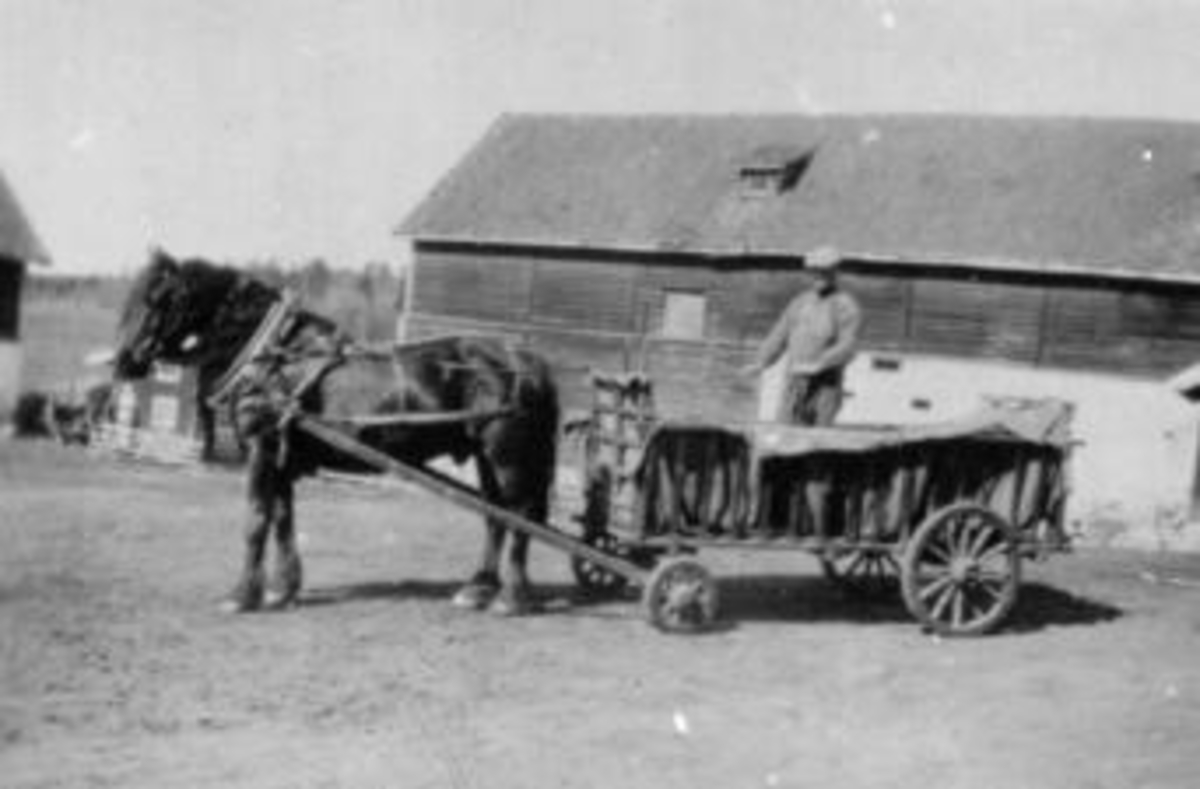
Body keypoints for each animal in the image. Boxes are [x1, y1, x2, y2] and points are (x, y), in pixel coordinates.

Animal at [112, 247, 561, 613]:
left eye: (157, 301)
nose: (123, 362)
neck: (271, 357)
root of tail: (525, 361)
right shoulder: (282, 458)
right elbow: (282, 519)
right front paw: (282, 588)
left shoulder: (262, 448)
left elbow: (256, 520)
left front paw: (241, 595)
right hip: (487, 458)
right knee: (496, 517)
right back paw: (478, 588)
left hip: (507, 457)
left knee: (521, 514)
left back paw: (511, 597)